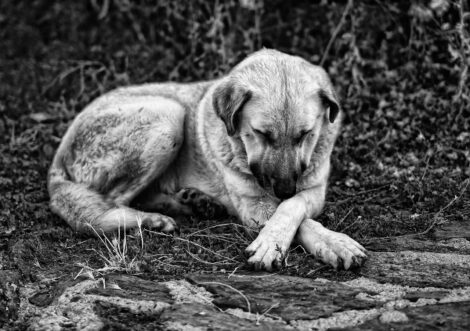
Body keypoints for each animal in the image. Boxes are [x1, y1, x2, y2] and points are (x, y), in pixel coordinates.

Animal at [49, 50, 370, 272]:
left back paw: (195, 203)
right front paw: (274, 244)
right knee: (109, 204)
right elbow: (299, 219)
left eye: (305, 134)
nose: (285, 188)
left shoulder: (313, 190)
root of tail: (58, 157)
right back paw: (153, 219)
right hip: (169, 116)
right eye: (262, 134)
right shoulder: (254, 207)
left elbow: (295, 207)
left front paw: (332, 242)